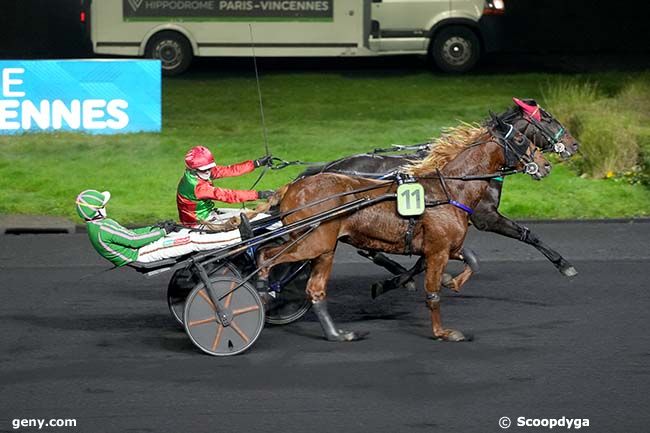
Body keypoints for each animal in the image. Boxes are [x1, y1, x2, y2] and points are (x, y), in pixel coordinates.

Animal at [256, 121, 548, 340]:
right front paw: (442, 332)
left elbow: (472, 260)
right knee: (266, 254)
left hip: (325, 247)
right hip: (312, 241)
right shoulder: (439, 250)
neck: (448, 189)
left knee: (315, 289)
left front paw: (451, 281)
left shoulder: (444, 246)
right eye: (520, 138)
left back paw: (337, 334)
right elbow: (432, 293)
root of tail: (291, 187)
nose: (545, 165)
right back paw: (263, 288)